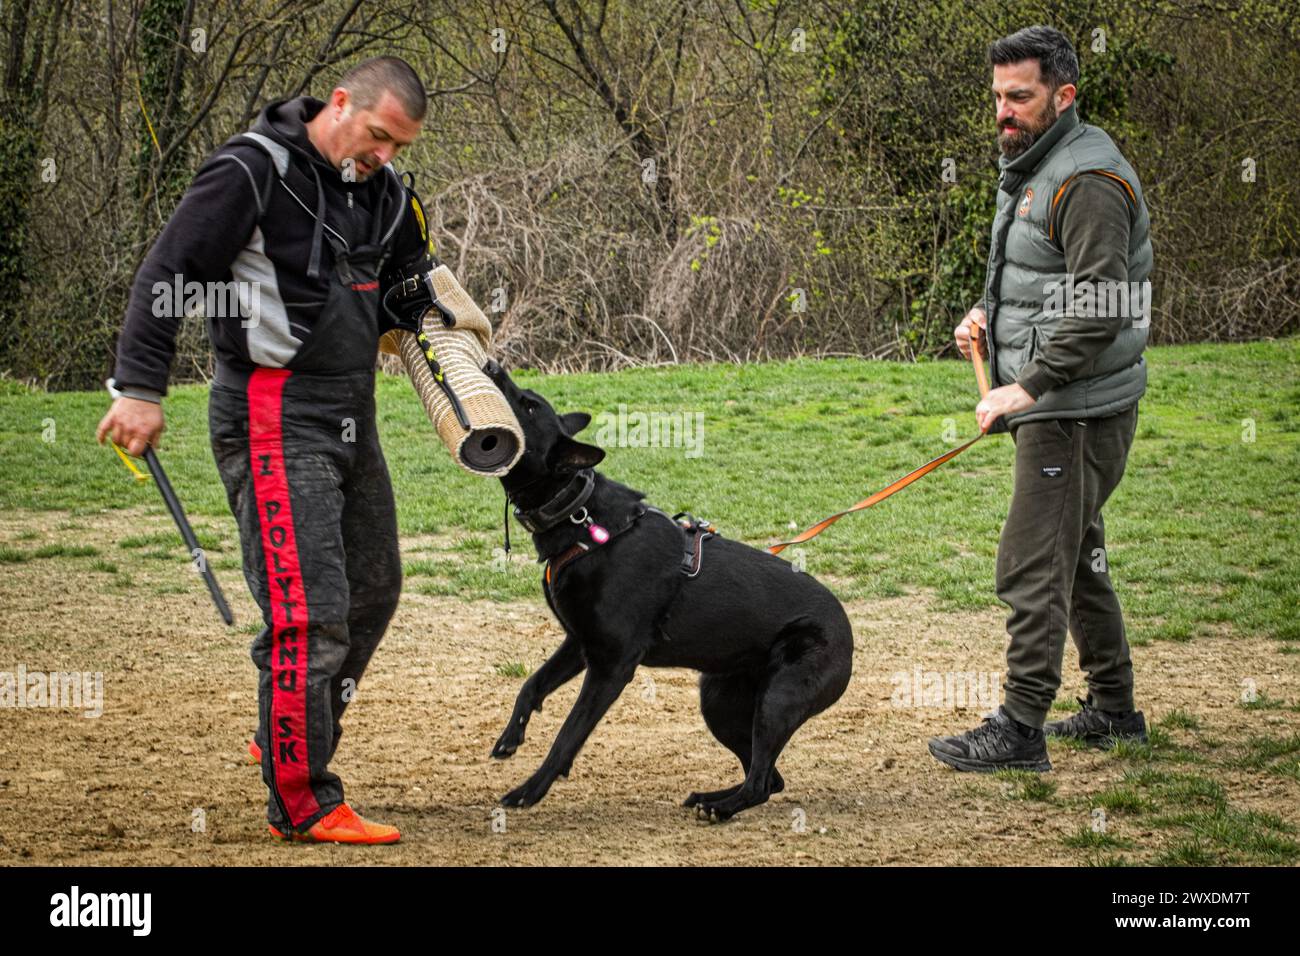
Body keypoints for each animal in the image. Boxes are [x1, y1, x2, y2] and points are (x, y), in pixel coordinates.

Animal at [486, 361, 852, 822]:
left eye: (529, 406)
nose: (493, 365)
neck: (580, 514)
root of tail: (849, 635)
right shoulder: (579, 644)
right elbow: (531, 686)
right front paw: (509, 738)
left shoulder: (612, 665)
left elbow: (569, 734)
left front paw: (530, 790)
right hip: (720, 702)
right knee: (770, 779)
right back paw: (713, 798)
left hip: (777, 699)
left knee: (760, 782)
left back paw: (721, 808)